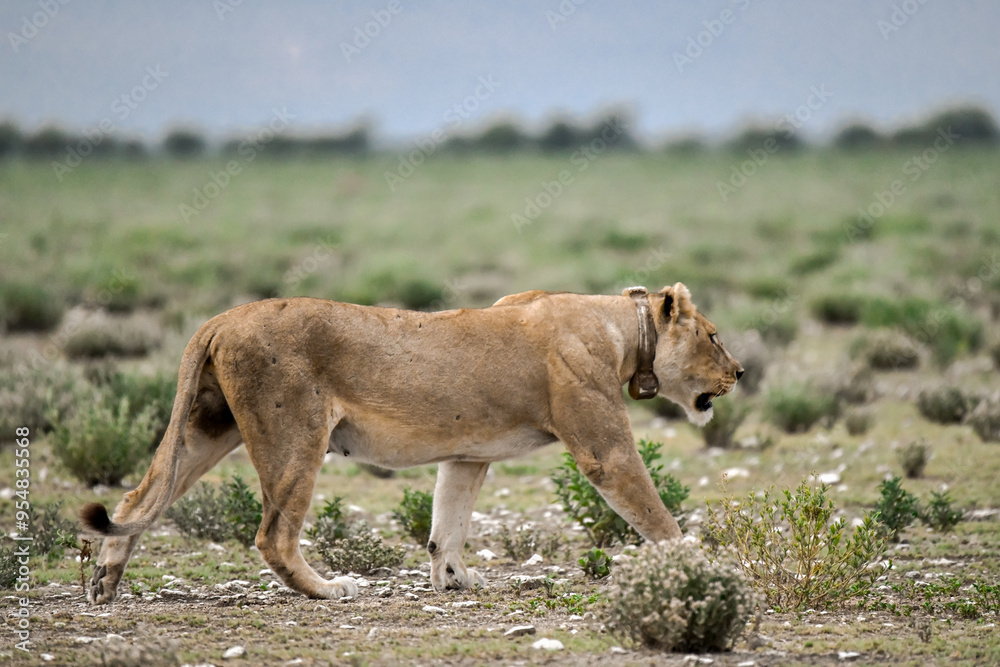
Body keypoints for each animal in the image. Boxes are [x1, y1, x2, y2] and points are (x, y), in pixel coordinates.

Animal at [79, 283, 742, 604]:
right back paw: (329, 590)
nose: (739, 372)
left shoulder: (469, 453)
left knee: (137, 499)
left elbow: (447, 522)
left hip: (207, 428)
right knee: (273, 536)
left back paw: (106, 583)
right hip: (295, 434)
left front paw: (453, 580)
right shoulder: (604, 451)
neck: (622, 330)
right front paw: (699, 567)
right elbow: (654, 512)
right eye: (714, 336)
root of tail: (219, 319)